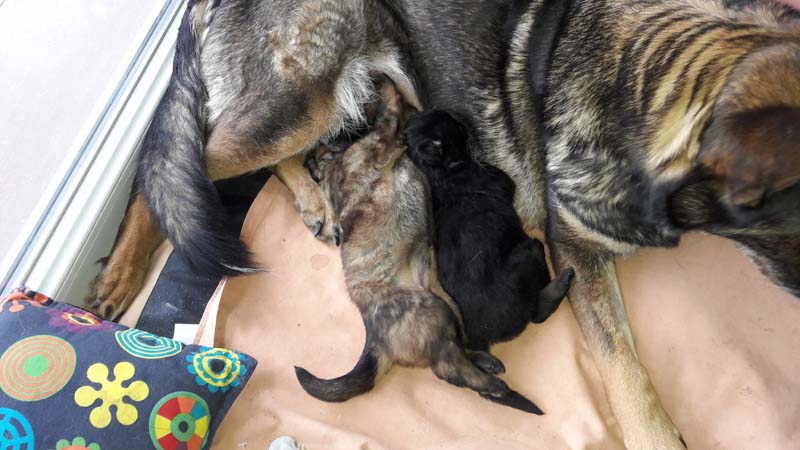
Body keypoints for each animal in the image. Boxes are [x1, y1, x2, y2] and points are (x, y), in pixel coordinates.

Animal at [296, 80, 543, 414]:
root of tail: (376, 340)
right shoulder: (381, 138)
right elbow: (389, 112)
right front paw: (387, 87)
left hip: (447, 304)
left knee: (457, 347)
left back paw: (485, 363)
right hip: (433, 310)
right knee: (447, 368)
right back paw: (492, 384)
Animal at [404, 110, 574, 352]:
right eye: (455, 126)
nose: (462, 121)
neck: (441, 173)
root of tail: (481, 336)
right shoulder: (500, 179)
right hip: (526, 258)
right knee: (537, 312)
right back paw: (561, 279)